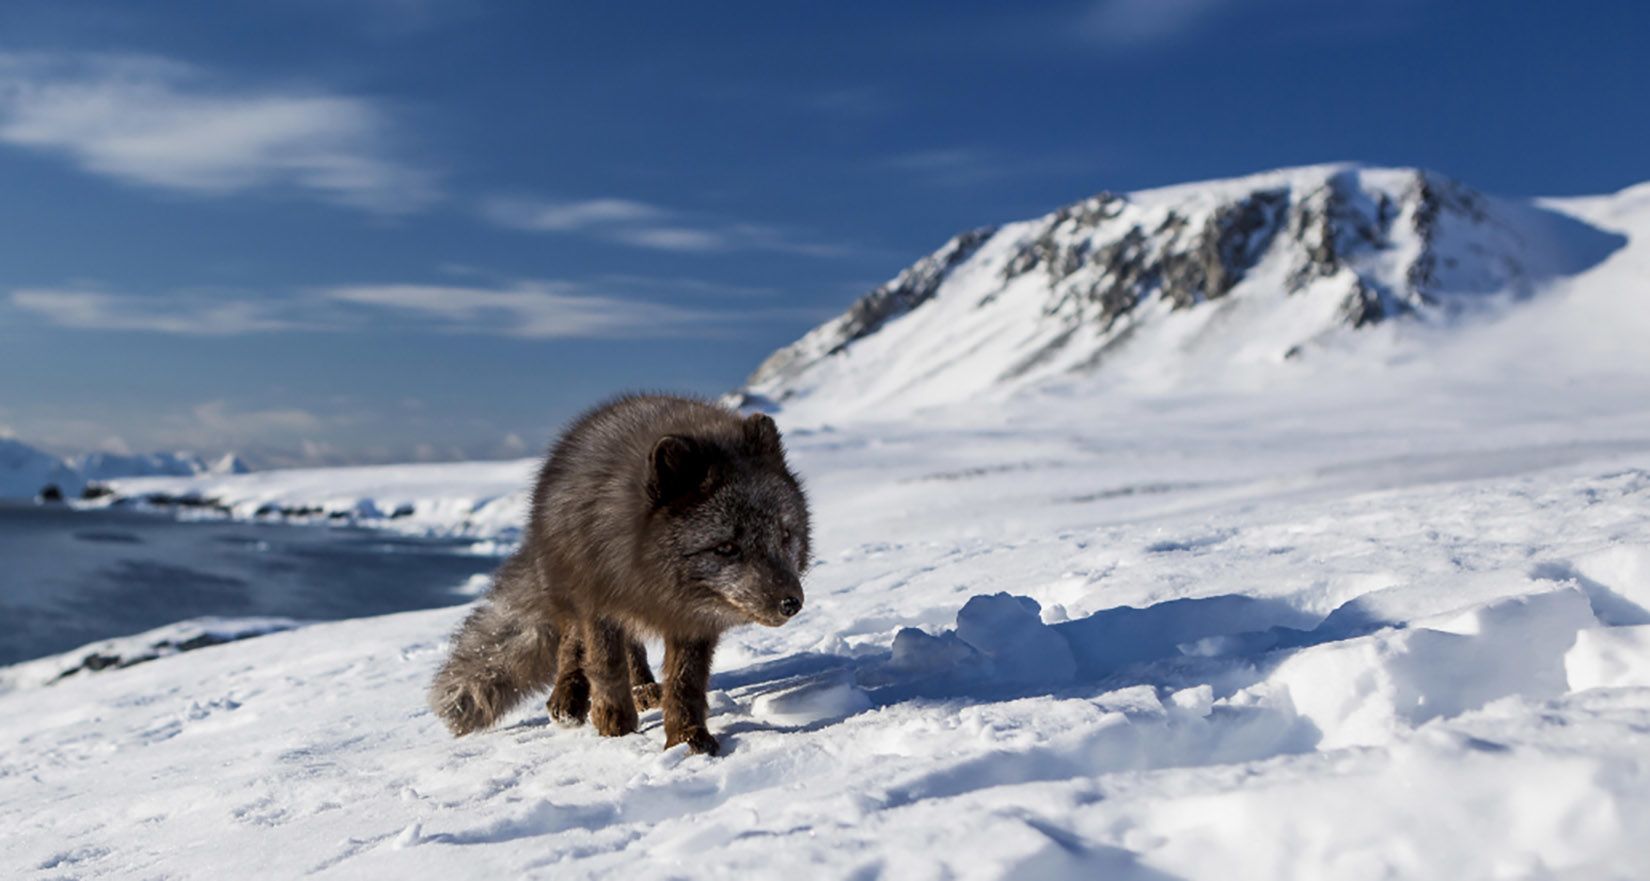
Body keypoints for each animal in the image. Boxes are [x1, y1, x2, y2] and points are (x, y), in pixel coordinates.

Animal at [429, 397, 808, 755]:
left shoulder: (691, 621)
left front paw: (687, 738)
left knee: (632, 649)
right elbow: (605, 665)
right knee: (572, 644)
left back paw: (643, 689)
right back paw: (568, 699)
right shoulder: (597, 600)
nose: (791, 603)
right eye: (727, 547)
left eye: (784, 535)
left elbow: (685, 682)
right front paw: (615, 726)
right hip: (570, 590)